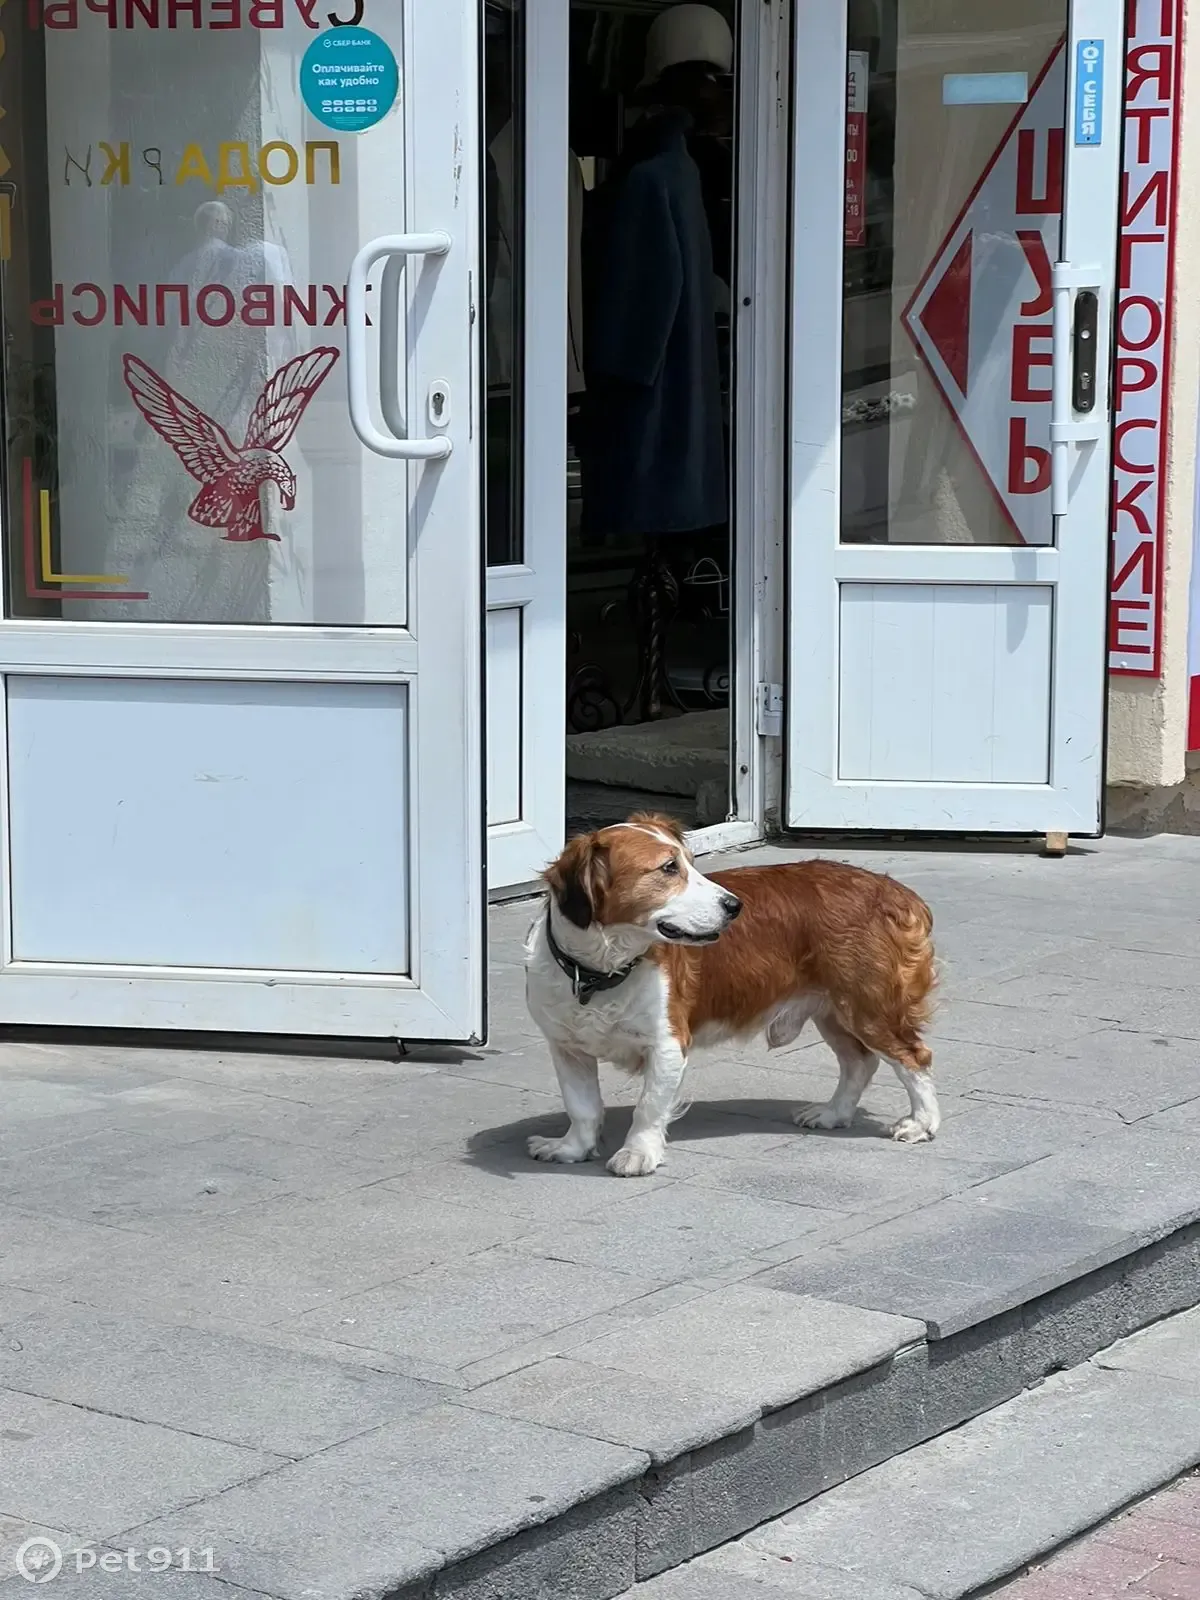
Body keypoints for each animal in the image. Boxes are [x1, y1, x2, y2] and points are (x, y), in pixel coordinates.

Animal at [524, 812, 940, 1177]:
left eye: (690, 864)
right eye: (668, 869)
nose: (734, 905)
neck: (601, 970)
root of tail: (893, 890)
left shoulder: (667, 1044)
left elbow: (648, 1107)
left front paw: (637, 1153)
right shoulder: (567, 1048)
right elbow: (582, 1106)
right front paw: (572, 1148)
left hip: (868, 1006)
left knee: (913, 1058)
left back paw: (921, 1123)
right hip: (833, 1010)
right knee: (859, 1063)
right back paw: (833, 1114)